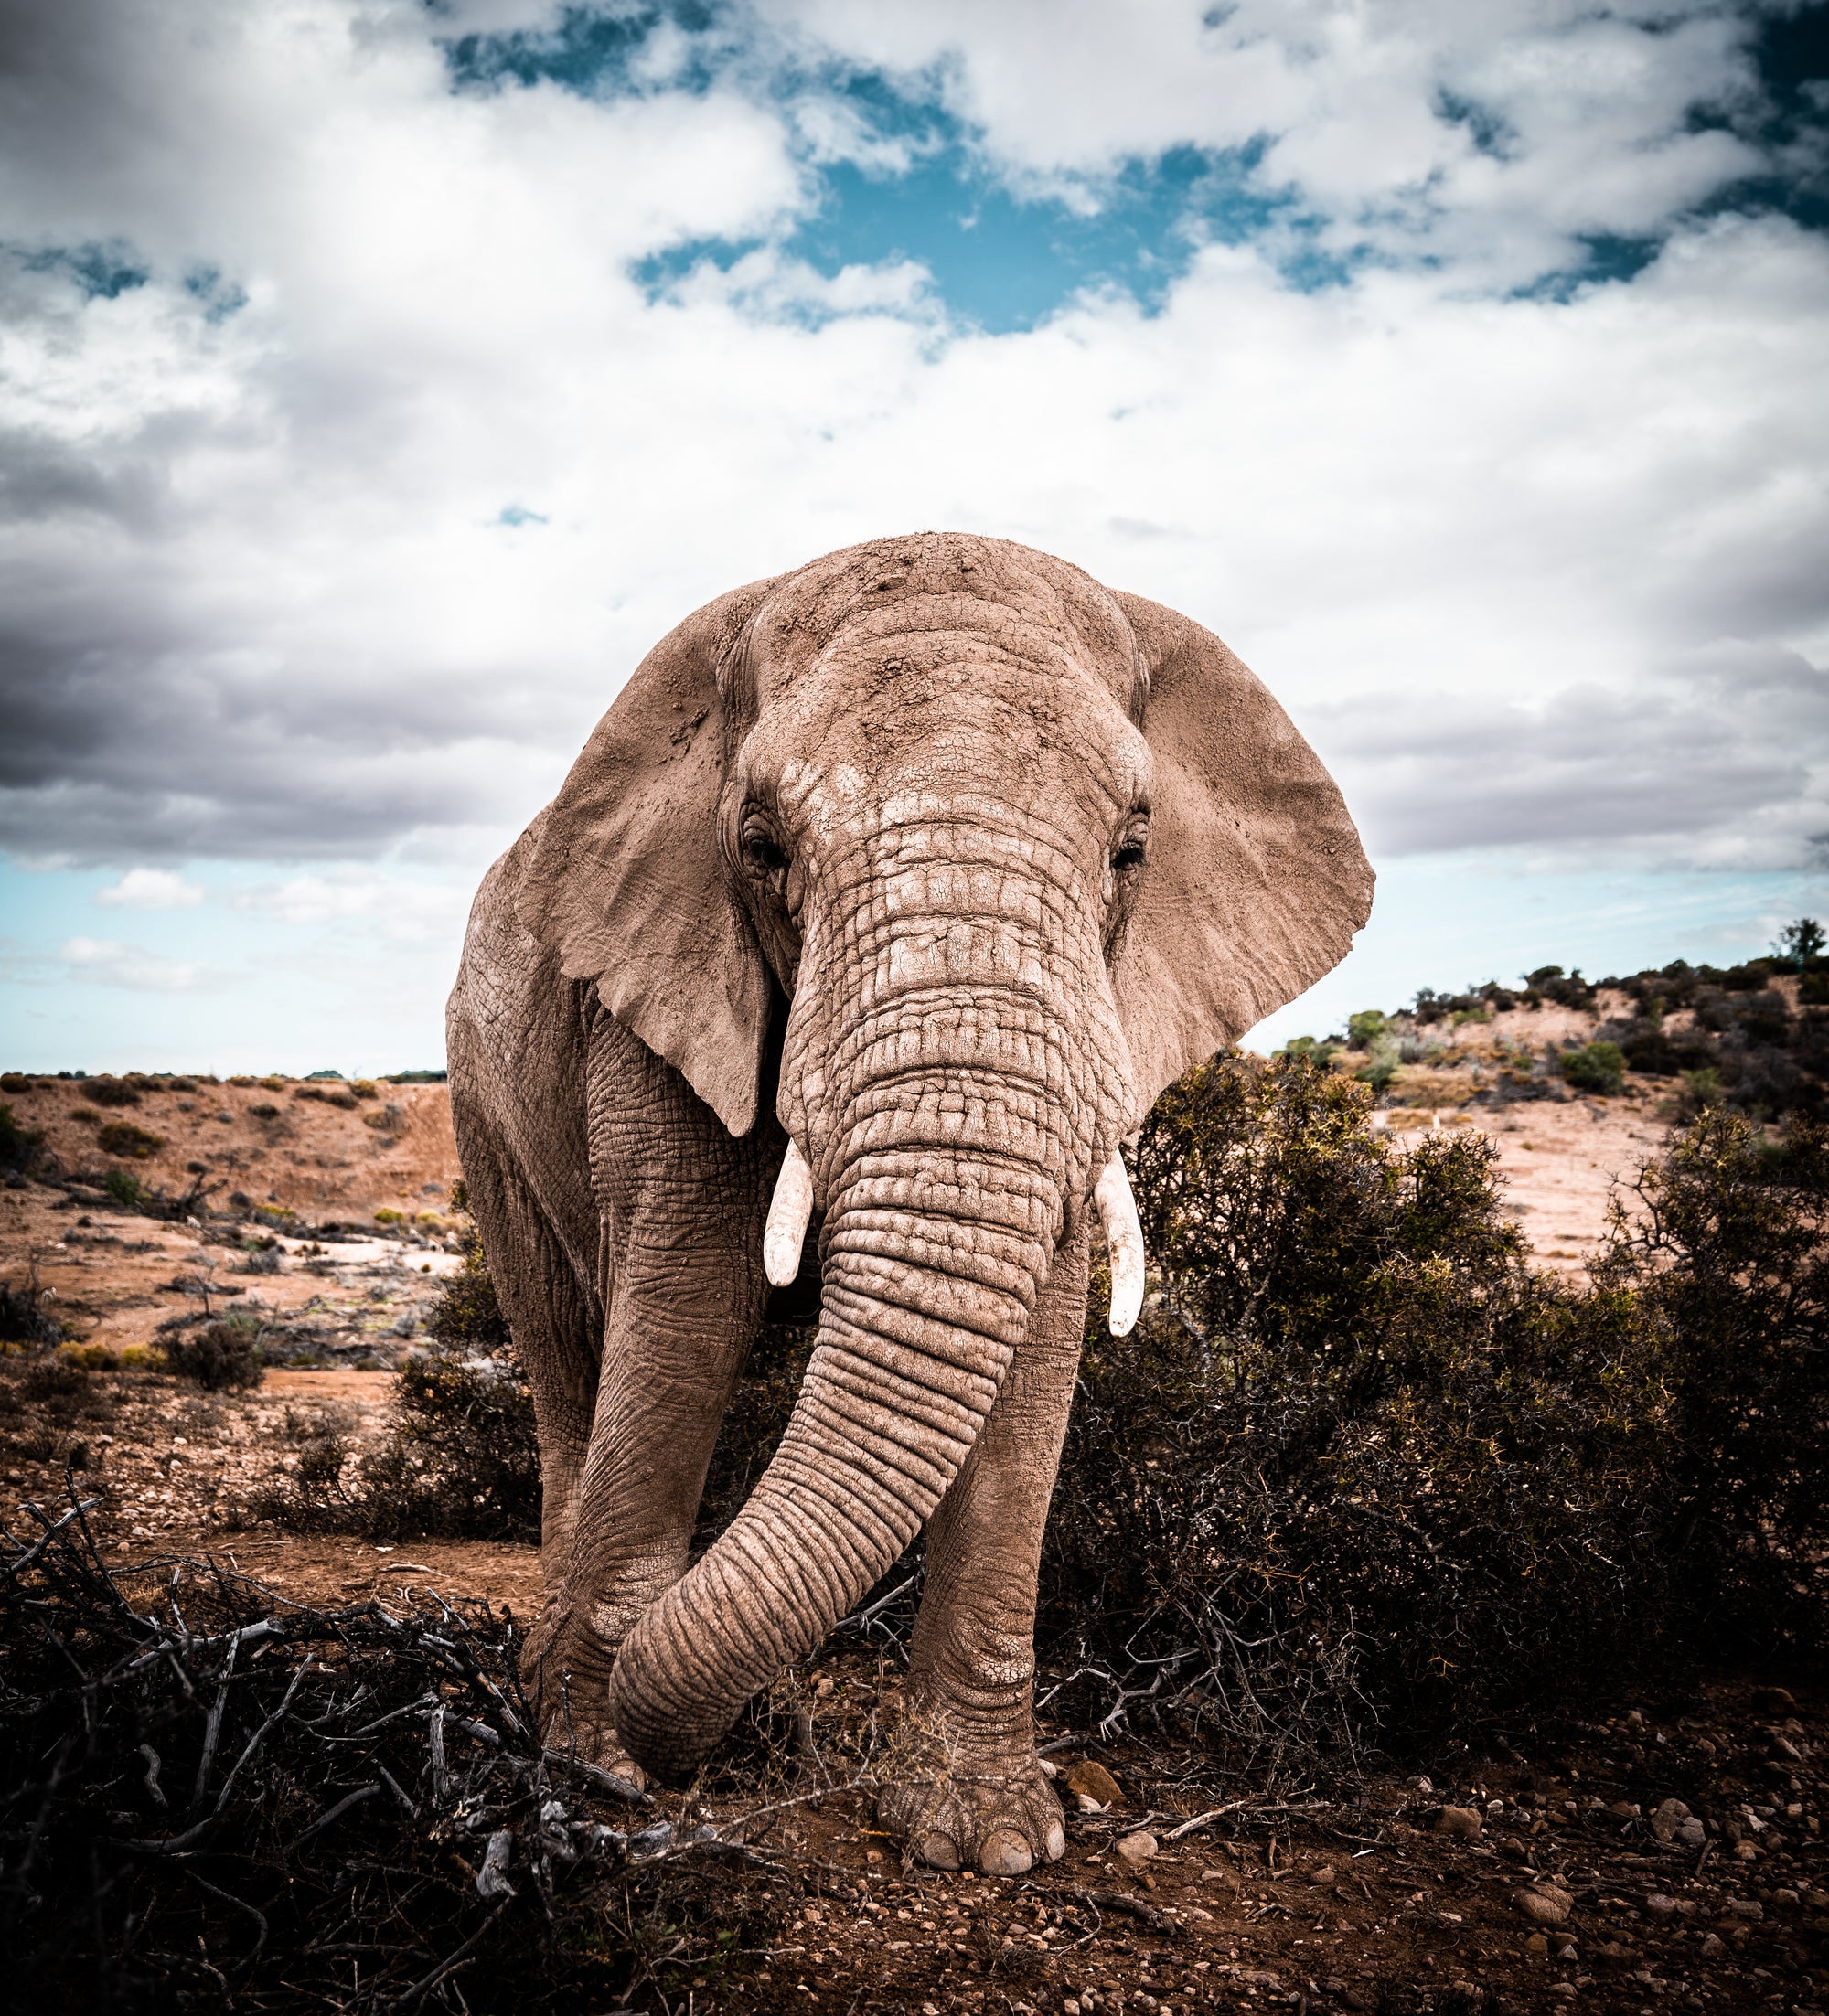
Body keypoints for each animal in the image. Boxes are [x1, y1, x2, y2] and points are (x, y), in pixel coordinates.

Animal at [446, 530, 1371, 1876]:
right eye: (762, 847)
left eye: (1132, 849)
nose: (668, 1749)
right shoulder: (655, 999)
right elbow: (682, 1314)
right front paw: (601, 1763)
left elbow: (1032, 1351)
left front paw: (992, 1841)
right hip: (483, 1097)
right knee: (570, 1365)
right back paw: (546, 1692)